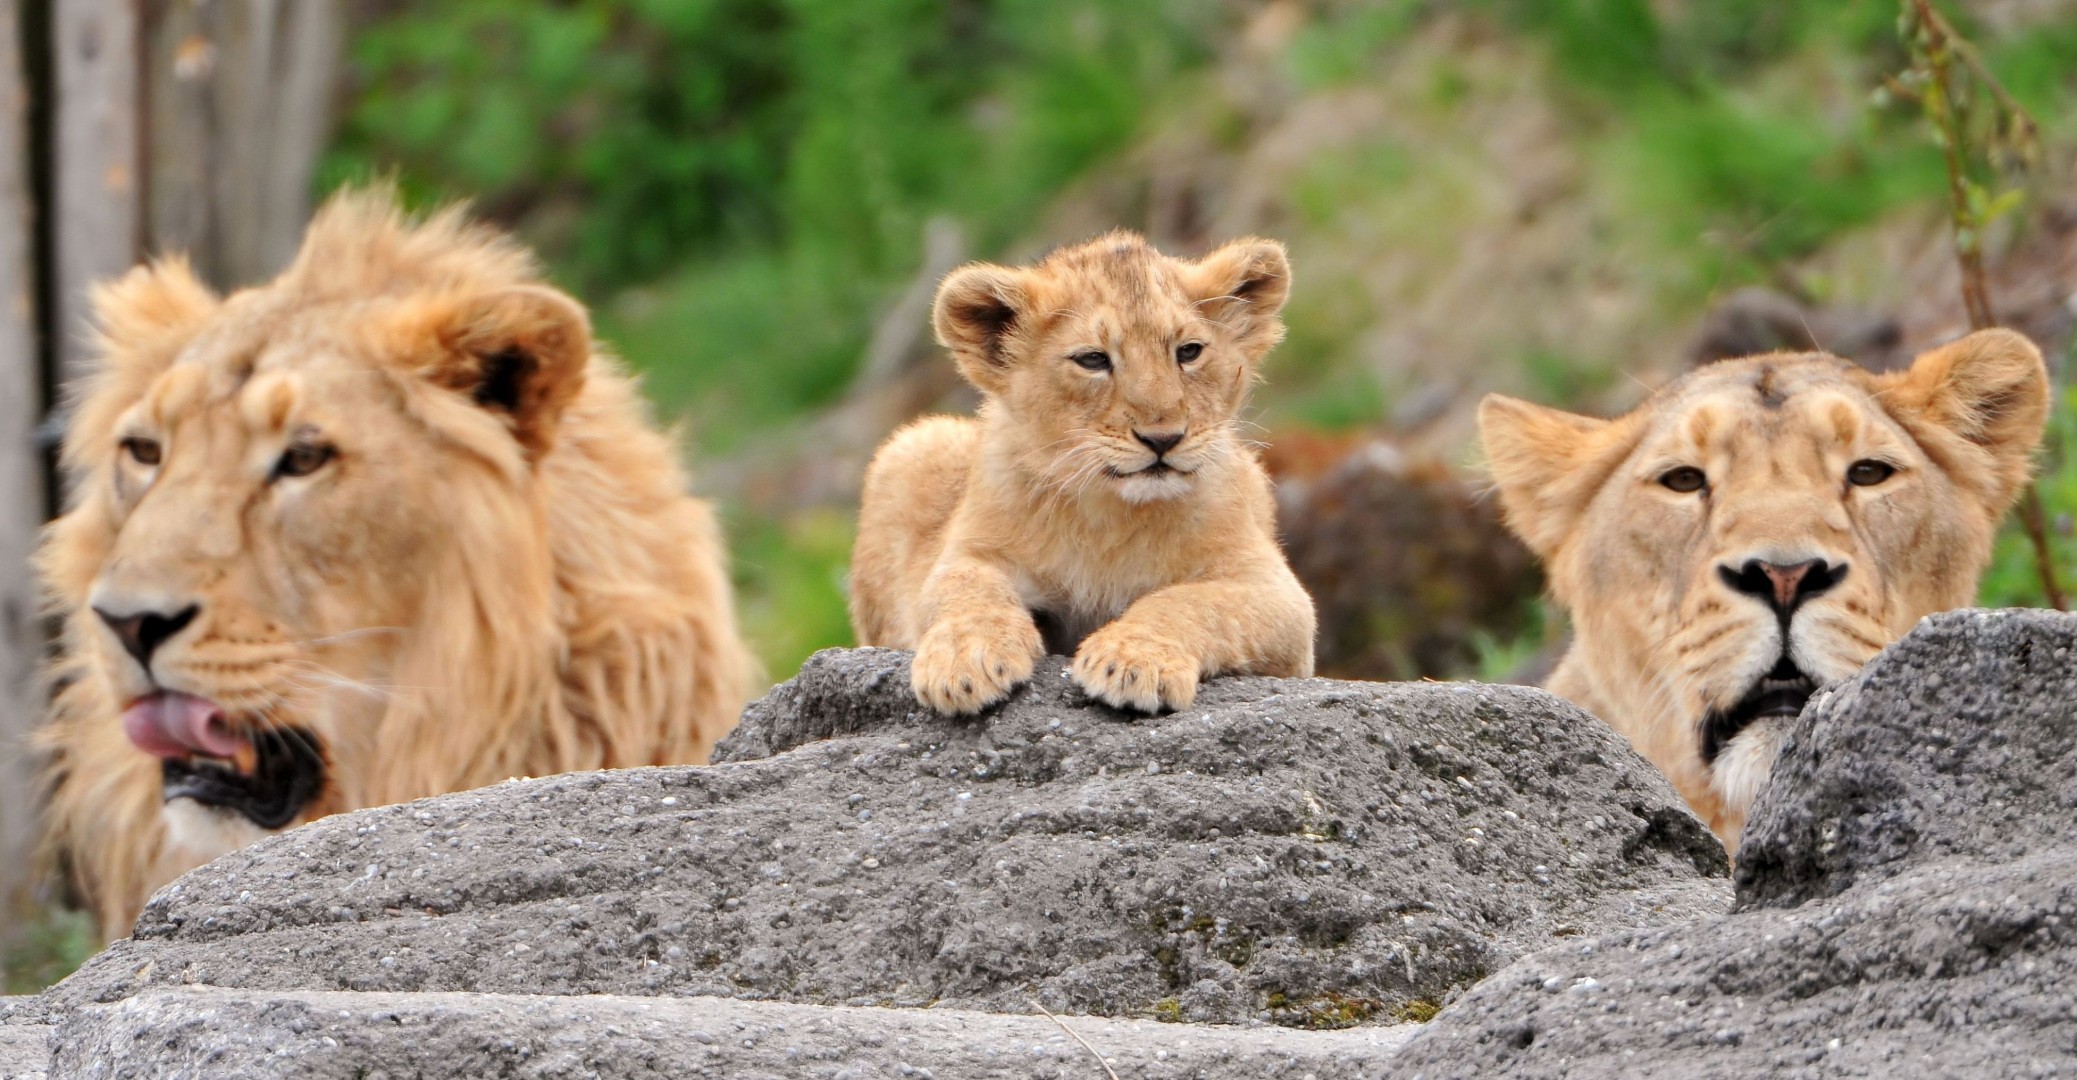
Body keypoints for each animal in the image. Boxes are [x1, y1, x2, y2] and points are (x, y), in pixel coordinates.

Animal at [849, 232, 1317, 715]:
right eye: (1092, 360)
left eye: (1188, 352)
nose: (1163, 438)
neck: (1109, 516)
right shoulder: (970, 552)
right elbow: (966, 590)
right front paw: (966, 660)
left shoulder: (1279, 597)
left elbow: (1188, 602)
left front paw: (1132, 661)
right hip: (914, 444)